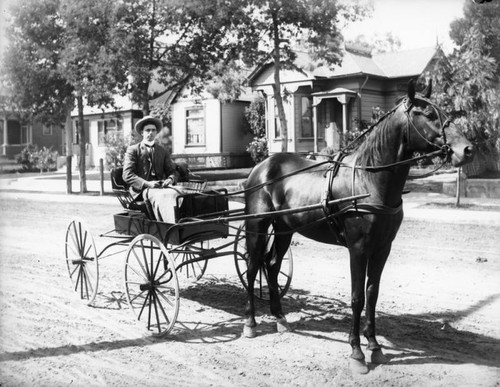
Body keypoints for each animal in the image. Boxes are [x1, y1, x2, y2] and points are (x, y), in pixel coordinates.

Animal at [241, 80, 472, 374]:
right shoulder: (358, 249)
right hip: (257, 226)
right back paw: (250, 323)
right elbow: (357, 298)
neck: (369, 180)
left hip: (284, 229)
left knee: (271, 266)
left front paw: (374, 346)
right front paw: (356, 353)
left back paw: (280, 318)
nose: (467, 150)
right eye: (429, 115)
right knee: (252, 268)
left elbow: (372, 295)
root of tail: (261, 166)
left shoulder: (382, 248)